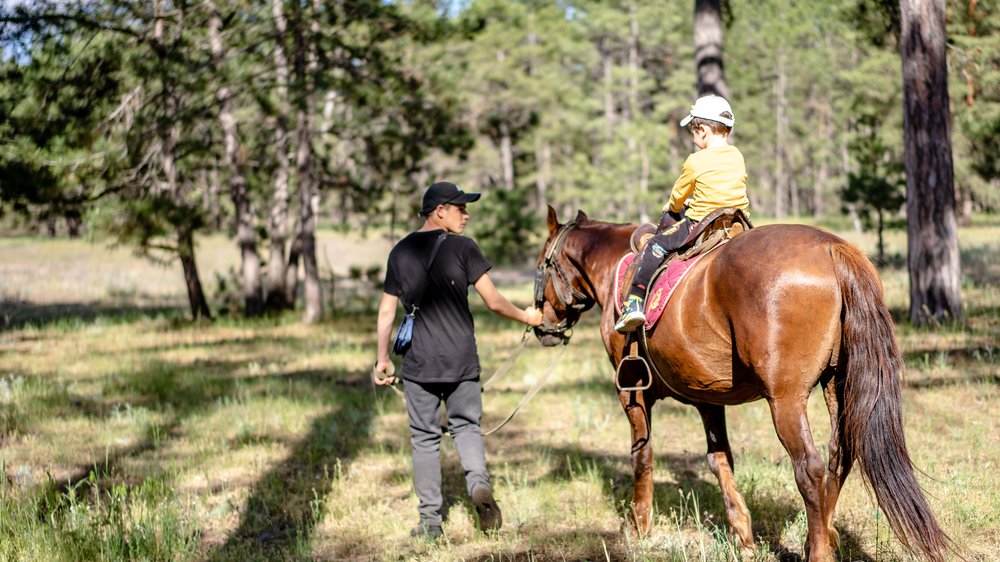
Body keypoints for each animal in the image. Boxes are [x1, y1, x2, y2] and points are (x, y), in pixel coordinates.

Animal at [536, 207, 948, 560]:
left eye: (543, 265)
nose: (543, 328)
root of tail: (834, 249)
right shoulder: (706, 396)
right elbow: (720, 460)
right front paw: (743, 536)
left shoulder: (632, 392)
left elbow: (642, 455)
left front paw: (640, 525)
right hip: (837, 384)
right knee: (840, 456)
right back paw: (821, 539)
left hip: (786, 400)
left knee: (811, 468)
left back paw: (818, 550)